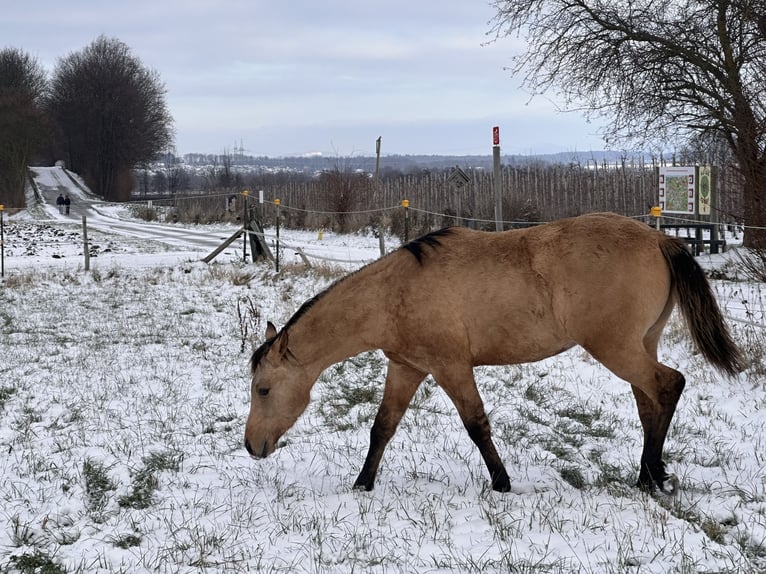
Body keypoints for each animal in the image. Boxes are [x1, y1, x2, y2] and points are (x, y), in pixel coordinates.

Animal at [244, 212, 744, 493]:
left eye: (263, 389)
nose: (252, 446)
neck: (394, 294)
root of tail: (661, 239)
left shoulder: (451, 367)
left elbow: (476, 426)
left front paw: (501, 483)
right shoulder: (407, 368)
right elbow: (382, 428)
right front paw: (362, 483)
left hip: (616, 348)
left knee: (669, 385)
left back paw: (653, 477)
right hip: (639, 344)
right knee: (650, 401)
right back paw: (648, 474)